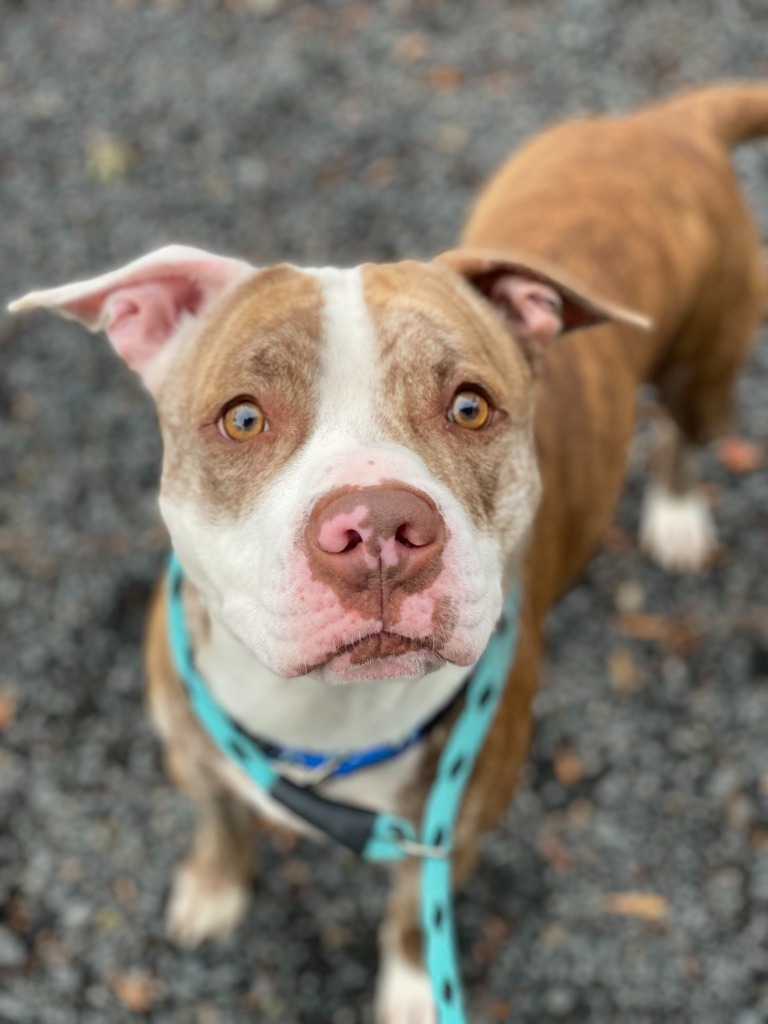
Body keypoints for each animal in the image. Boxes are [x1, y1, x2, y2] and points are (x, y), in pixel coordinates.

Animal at [10, 83, 768, 1019]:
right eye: (243, 417)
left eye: (470, 406)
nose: (377, 528)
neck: (322, 722)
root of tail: (667, 122)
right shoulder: (190, 753)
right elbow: (220, 822)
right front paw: (214, 888)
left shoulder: (450, 835)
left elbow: (413, 920)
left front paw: (410, 995)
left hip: (707, 367)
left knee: (685, 439)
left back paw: (677, 514)